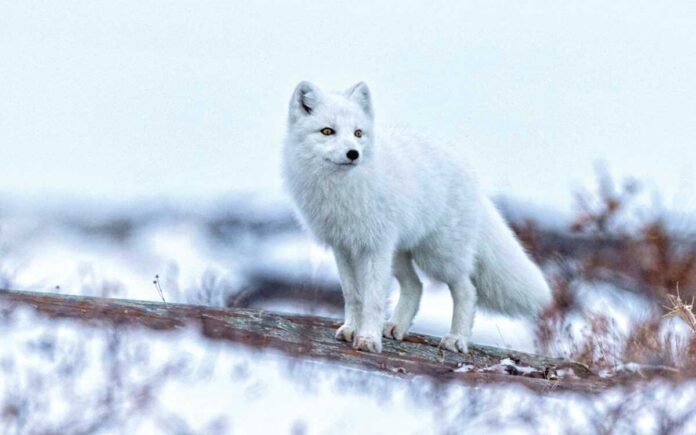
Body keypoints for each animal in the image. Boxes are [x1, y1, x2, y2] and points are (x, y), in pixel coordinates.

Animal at [282, 81, 552, 353]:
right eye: (327, 131)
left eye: (358, 133)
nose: (353, 154)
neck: (341, 188)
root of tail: (470, 174)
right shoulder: (343, 246)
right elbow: (353, 295)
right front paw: (351, 329)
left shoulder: (376, 246)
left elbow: (373, 299)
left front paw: (368, 339)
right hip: (401, 253)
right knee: (416, 286)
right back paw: (396, 327)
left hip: (438, 256)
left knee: (466, 290)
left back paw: (457, 339)